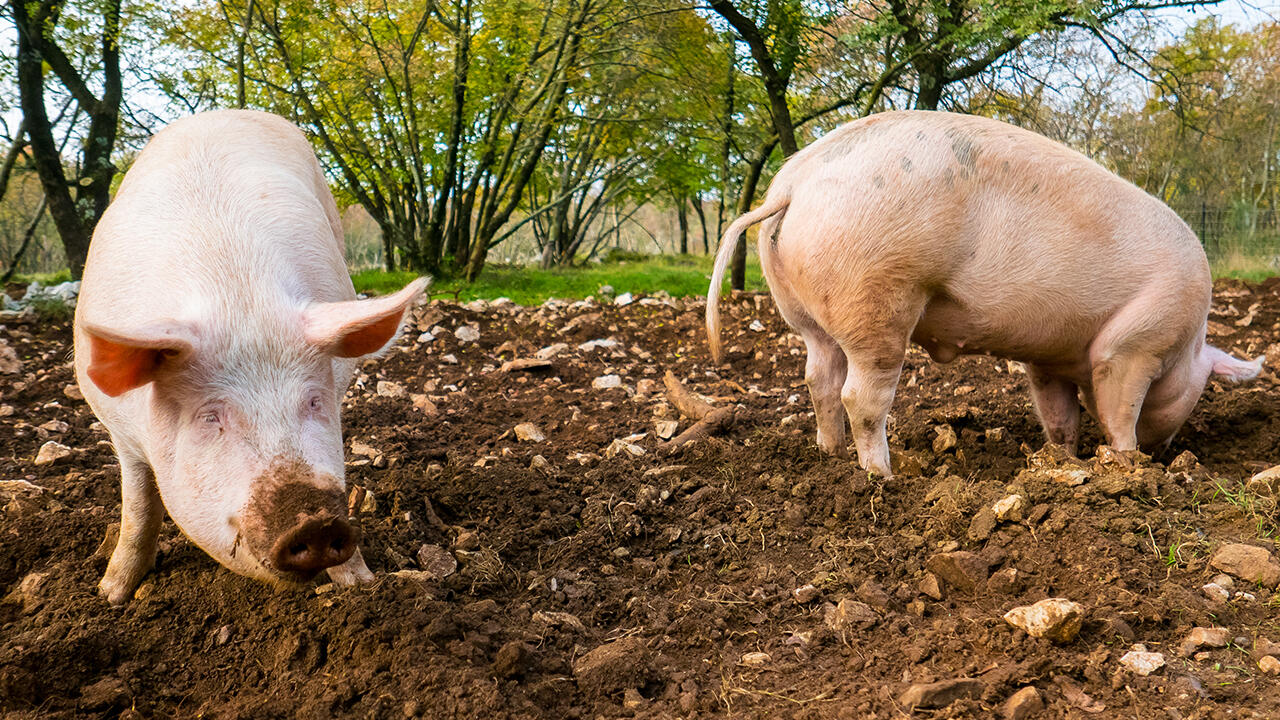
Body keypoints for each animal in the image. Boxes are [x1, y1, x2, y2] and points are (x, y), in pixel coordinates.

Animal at [73, 107, 424, 599]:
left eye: (313, 401)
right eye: (210, 416)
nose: (314, 523)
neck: (237, 301)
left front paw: (361, 586)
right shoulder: (119, 430)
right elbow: (139, 506)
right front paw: (112, 595)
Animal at [711, 109, 1259, 474]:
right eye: (1199, 387)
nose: (1161, 453)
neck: (1187, 344)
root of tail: (792, 183)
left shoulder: (1046, 360)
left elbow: (1060, 419)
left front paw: (1062, 459)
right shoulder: (1134, 344)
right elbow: (1118, 411)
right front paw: (1129, 465)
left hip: (805, 314)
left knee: (818, 378)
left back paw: (831, 457)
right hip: (877, 294)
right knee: (860, 395)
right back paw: (884, 477)